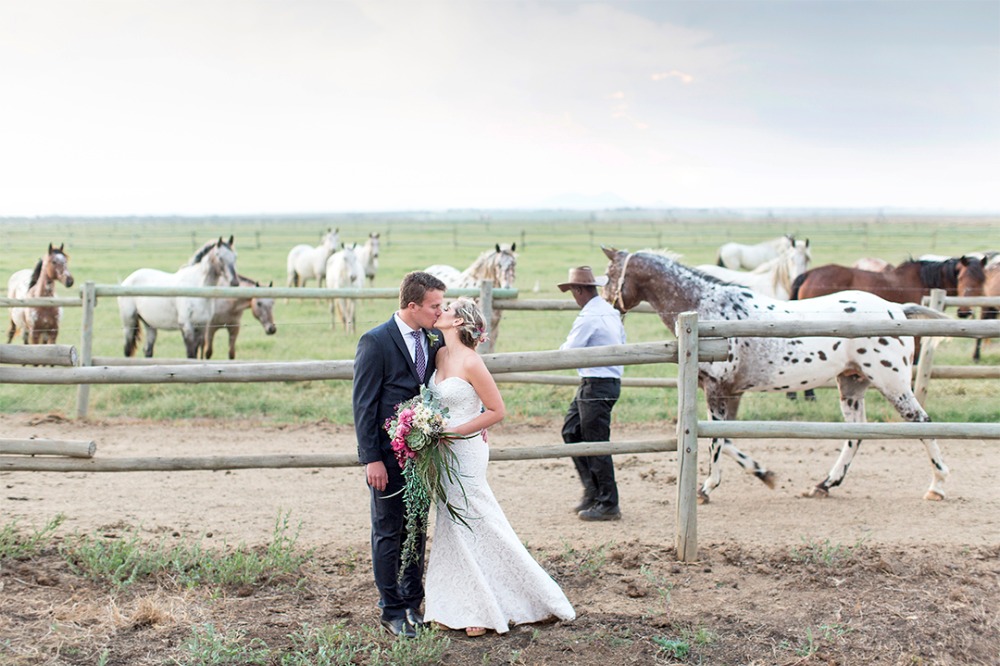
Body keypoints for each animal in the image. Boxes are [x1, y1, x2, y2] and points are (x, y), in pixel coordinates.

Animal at [600, 246, 952, 500]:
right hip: (852, 385)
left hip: (892, 383)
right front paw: (763, 474)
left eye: (610, 273)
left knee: (921, 423)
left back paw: (938, 485)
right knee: (856, 435)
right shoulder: (730, 393)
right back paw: (824, 484)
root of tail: (895, 310)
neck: (707, 310)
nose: (606, 307)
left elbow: (717, 440)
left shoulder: (717, 390)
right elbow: (726, 438)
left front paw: (706, 488)